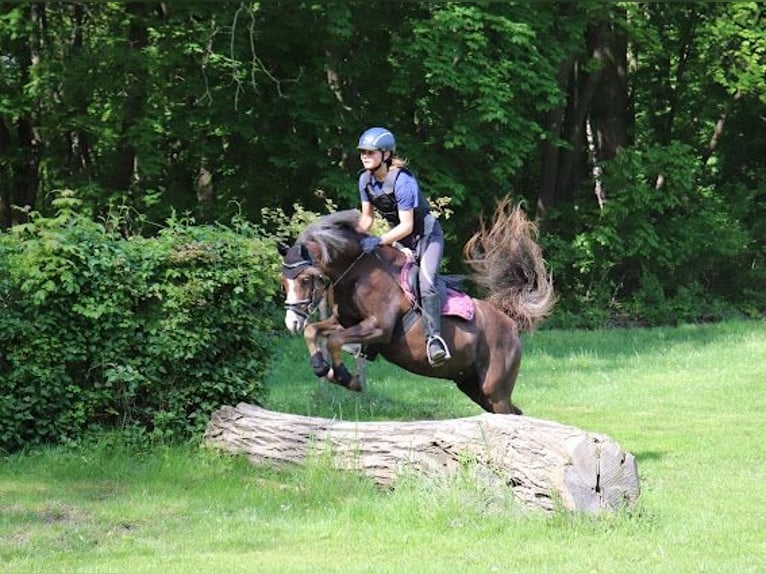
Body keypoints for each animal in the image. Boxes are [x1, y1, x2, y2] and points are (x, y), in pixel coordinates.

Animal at [280, 198, 556, 414]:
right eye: (283, 281)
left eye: (305, 280)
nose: (291, 322)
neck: (359, 272)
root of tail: (509, 322)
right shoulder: (345, 322)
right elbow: (315, 331)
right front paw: (321, 367)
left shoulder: (378, 328)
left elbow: (335, 340)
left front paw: (344, 376)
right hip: (472, 386)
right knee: (515, 413)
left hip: (494, 389)